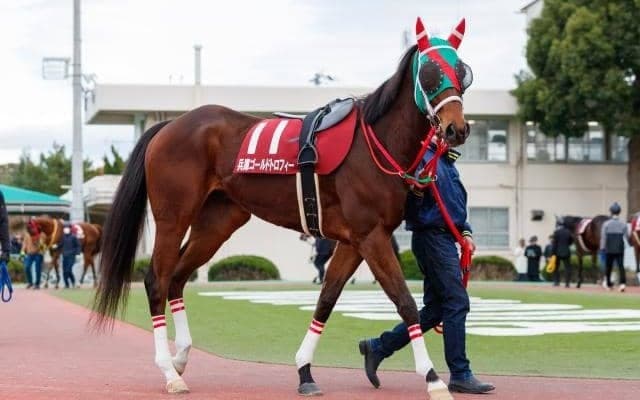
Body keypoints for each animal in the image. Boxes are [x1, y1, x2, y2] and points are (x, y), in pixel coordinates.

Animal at [93, 17, 472, 399]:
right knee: (156, 280)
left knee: (177, 279)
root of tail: (170, 124)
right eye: (429, 72)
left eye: (462, 72)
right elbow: (405, 302)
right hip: (173, 218)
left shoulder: (353, 242)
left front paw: (305, 370)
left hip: (217, 224)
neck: (373, 143)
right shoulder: (372, 236)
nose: (457, 128)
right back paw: (170, 372)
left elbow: (327, 299)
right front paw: (432, 378)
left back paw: (181, 356)